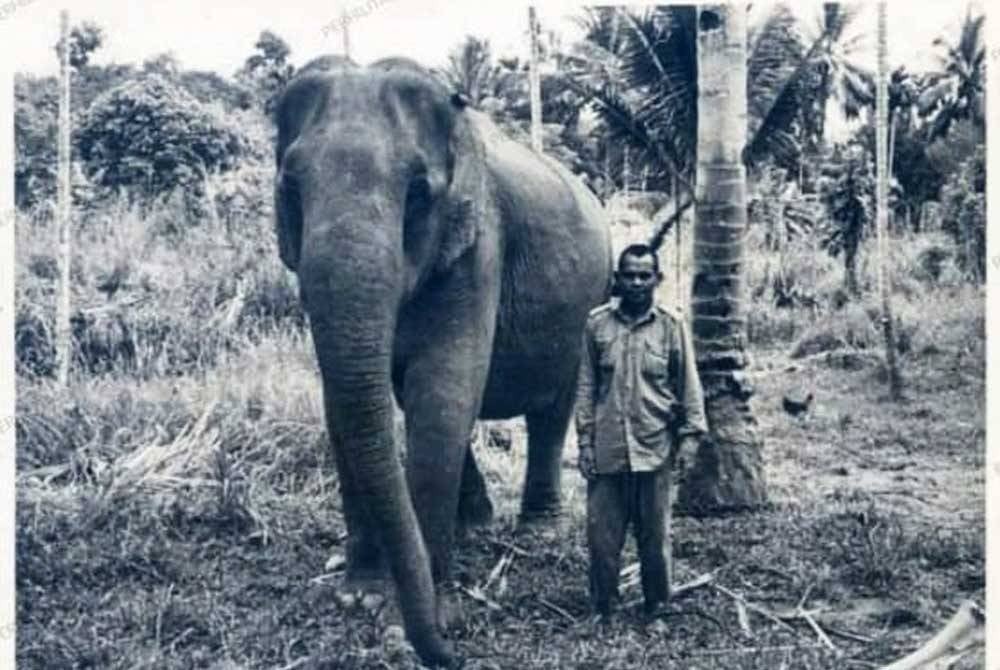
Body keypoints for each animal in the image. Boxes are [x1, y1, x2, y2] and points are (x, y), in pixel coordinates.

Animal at [272, 56, 608, 668]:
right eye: (291, 187)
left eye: (417, 192)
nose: (450, 653)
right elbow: (344, 400)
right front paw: (359, 597)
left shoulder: (478, 244)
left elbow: (442, 390)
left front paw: (414, 619)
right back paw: (474, 524)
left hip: (587, 300)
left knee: (553, 406)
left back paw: (538, 530)